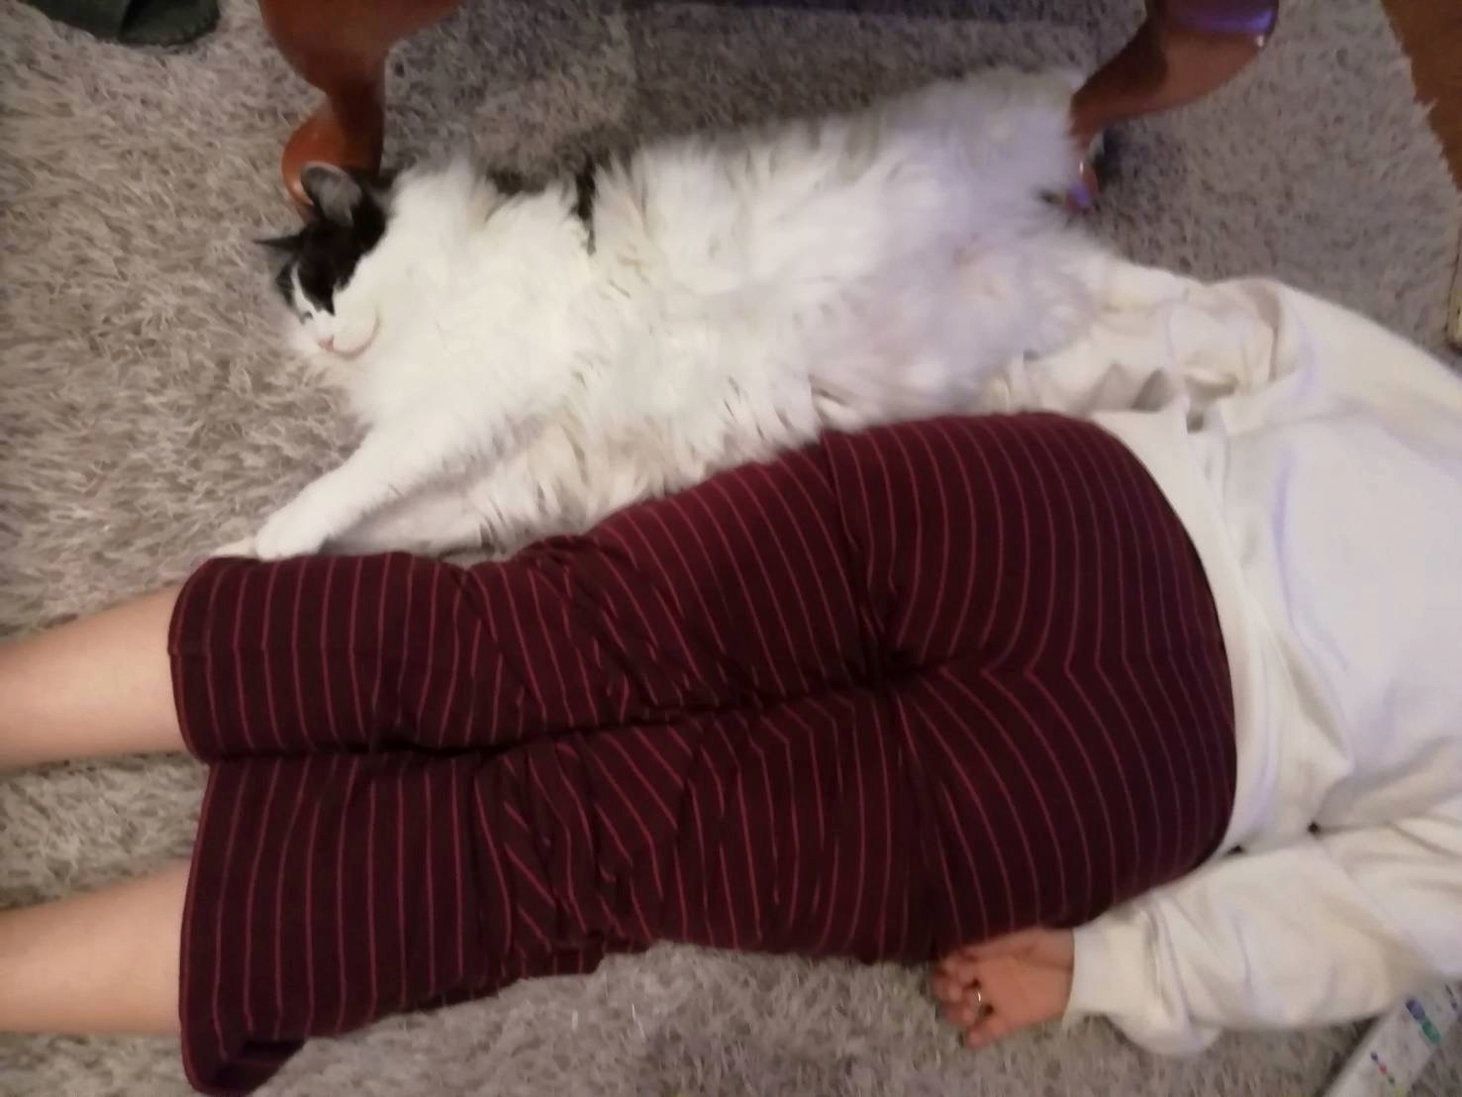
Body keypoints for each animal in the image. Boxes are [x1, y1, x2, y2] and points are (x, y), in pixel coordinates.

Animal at [242, 69, 1102, 560]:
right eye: (304, 314)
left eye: (328, 286)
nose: (324, 336)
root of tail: (1004, 225)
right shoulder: (501, 481)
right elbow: (375, 524)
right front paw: (243, 553)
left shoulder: (460, 402)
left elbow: (352, 480)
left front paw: (277, 532)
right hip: (1029, 299)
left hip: (1011, 124)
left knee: (1071, 100)